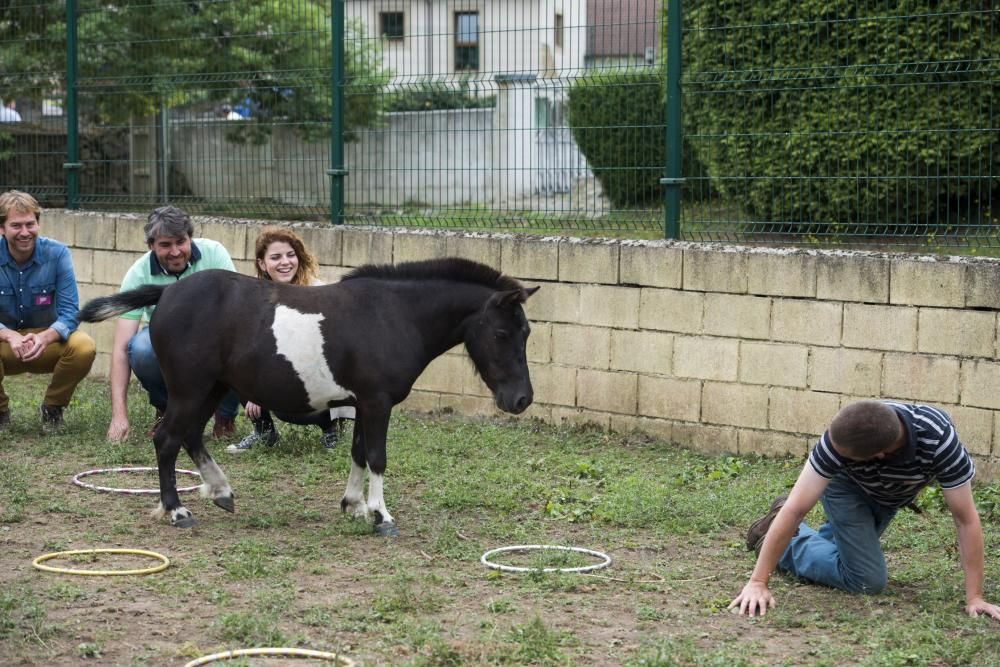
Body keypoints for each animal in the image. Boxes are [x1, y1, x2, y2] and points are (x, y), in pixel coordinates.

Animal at [80, 258, 540, 536]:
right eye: (501, 333)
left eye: (527, 332)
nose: (521, 399)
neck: (392, 315)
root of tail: (167, 293)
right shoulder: (377, 403)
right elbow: (377, 457)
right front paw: (381, 516)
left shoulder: (361, 404)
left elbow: (358, 453)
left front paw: (354, 505)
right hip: (191, 389)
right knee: (167, 440)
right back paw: (177, 510)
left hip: (212, 388)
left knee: (189, 437)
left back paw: (221, 493)